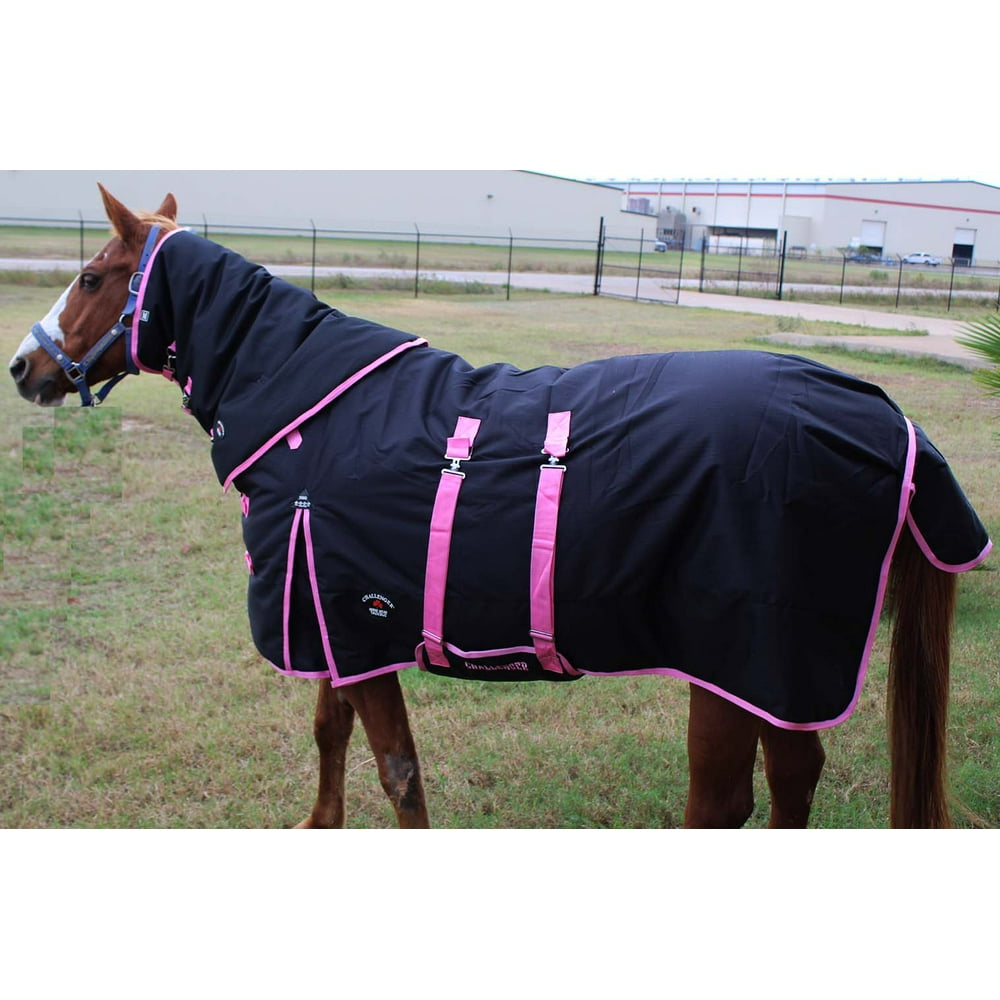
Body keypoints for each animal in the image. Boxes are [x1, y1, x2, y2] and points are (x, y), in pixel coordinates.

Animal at [8, 185, 992, 829]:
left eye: (93, 276)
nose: (24, 367)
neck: (309, 413)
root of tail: (889, 418)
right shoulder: (329, 614)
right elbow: (330, 732)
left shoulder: (350, 620)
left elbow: (398, 772)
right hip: (774, 681)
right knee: (795, 776)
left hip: (736, 662)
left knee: (727, 800)